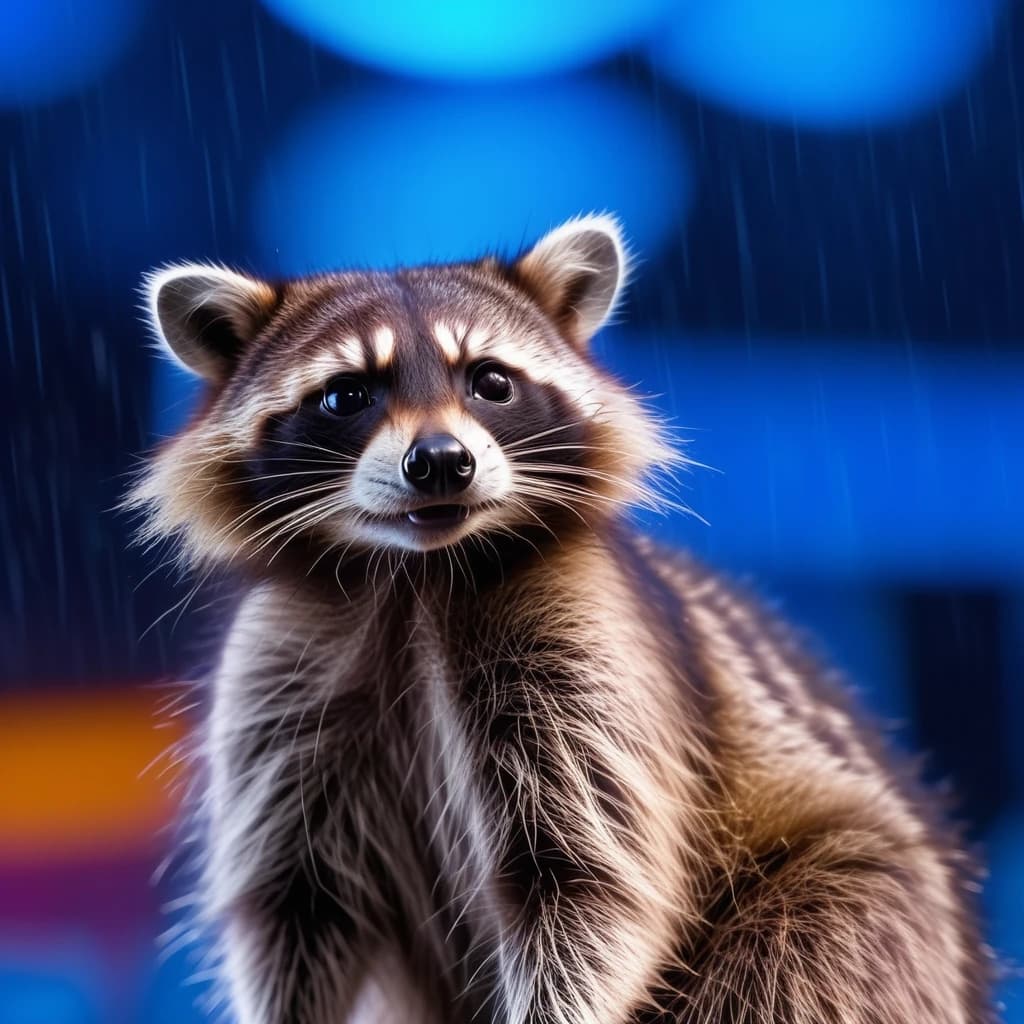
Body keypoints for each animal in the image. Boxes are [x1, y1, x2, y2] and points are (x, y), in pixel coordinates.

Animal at [131, 216, 994, 1023]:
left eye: (489, 381)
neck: (419, 575)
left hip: (864, 903)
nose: (440, 461)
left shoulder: (585, 649)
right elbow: (296, 907)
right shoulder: (281, 671)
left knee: (806, 954)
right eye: (348, 394)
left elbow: (590, 885)